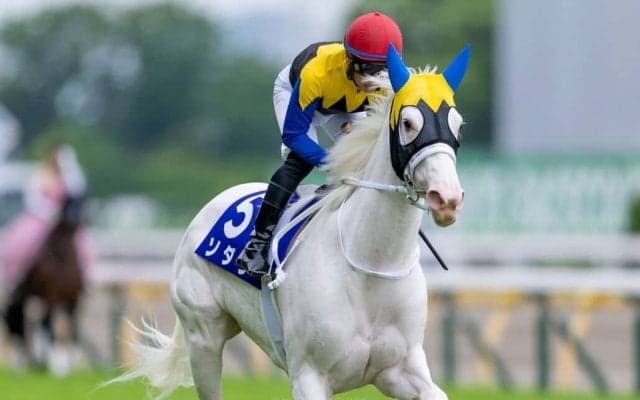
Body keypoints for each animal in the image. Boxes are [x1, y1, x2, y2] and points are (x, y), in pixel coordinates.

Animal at [3, 195, 86, 375]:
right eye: (68, 205)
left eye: (81, 202)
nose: (78, 223)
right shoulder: (51, 296)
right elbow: (52, 328)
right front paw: (58, 367)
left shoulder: (73, 299)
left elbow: (73, 328)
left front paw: (73, 363)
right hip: (23, 296)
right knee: (19, 323)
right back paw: (25, 363)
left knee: (28, 323)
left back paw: (35, 362)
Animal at [114, 44, 470, 400]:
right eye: (408, 122)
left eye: (458, 125)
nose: (447, 198)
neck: (370, 267)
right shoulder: (309, 375)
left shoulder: (401, 371)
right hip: (203, 336)